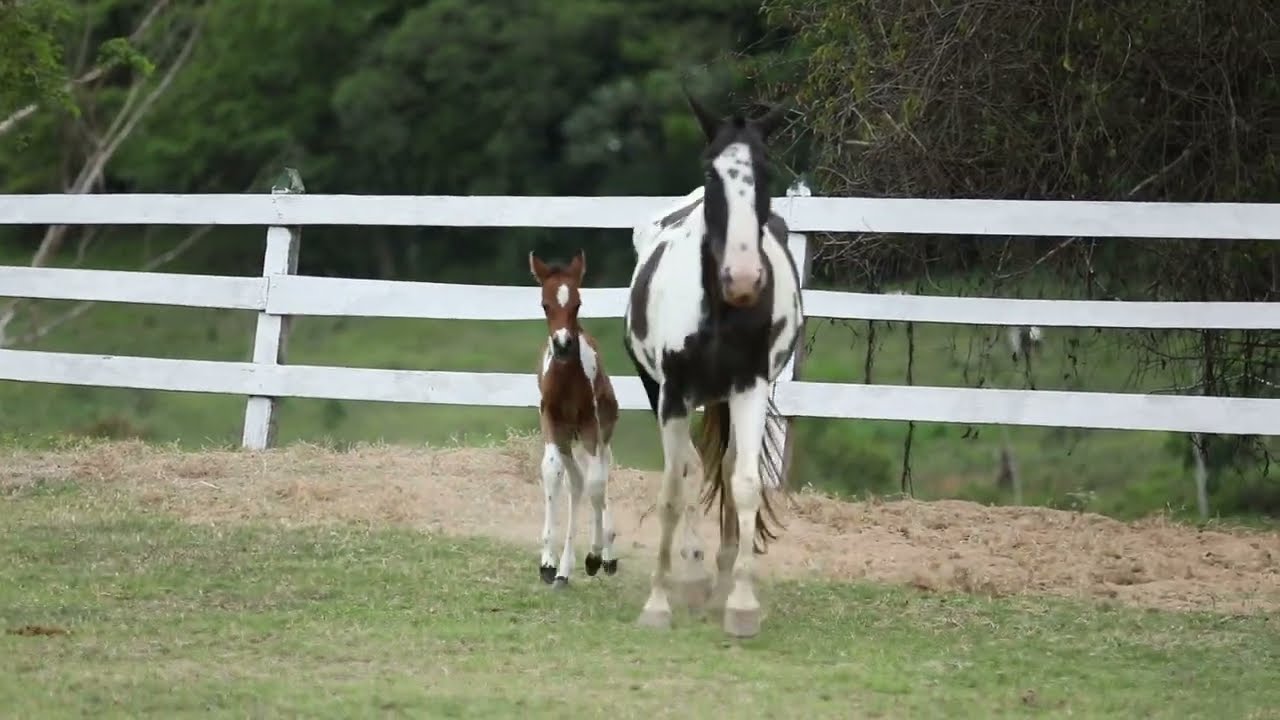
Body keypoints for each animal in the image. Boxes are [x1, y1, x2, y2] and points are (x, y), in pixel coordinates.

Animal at [529, 249, 619, 586]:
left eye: (578, 304)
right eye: (545, 304)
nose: (564, 344)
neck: (567, 379)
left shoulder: (591, 425)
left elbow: (596, 483)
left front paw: (594, 556)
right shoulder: (551, 421)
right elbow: (553, 472)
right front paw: (548, 563)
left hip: (601, 430)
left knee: (598, 477)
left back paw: (603, 556)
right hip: (568, 437)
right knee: (576, 482)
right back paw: (564, 569)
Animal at [622, 88, 798, 632]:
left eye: (766, 170)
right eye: (709, 170)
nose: (742, 278)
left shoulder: (750, 386)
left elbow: (744, 482)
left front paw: (741, 603)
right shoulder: (673, 394)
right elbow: (673, 489)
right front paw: (658, 602)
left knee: (726, 465)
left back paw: (719, 573)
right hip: (659, 389)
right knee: (690, 468)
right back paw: (696, 573)